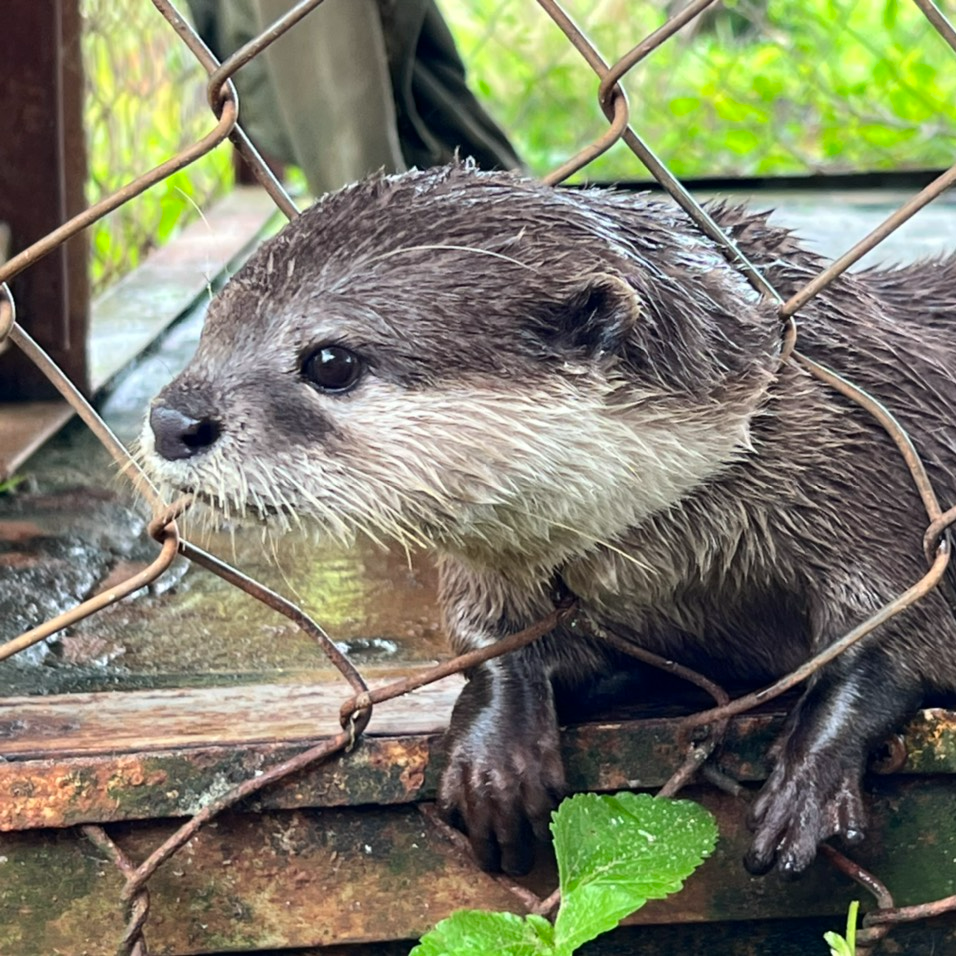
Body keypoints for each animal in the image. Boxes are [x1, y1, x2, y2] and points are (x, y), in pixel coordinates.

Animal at [140, 161, 956, 876]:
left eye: (330, 362)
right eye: (210, 330)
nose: (171, 420)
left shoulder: (878, 475)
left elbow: (894, 636)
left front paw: (809, 778)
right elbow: (489, 637)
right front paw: (498, 751)